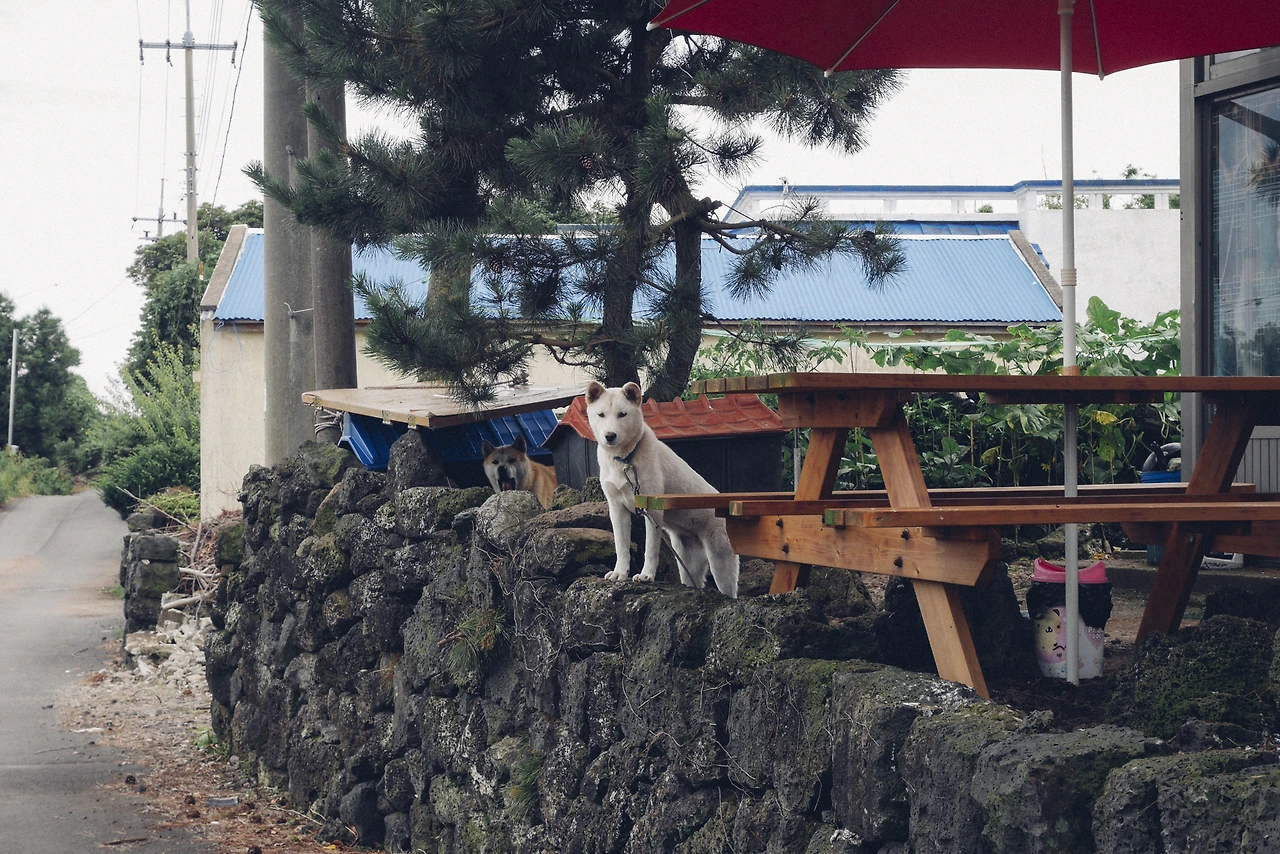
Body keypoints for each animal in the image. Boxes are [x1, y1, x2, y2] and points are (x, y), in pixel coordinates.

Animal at [585, 381, 739, 598]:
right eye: (601, 414)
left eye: (622, 414)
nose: (610, 436)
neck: (625, 460)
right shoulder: (617, 508)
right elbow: (621, 546)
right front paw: (619, 573)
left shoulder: (653, 510)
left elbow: (650, 549)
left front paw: (646, 576)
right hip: (688, 564)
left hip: (721, 562)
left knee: (730, 592)